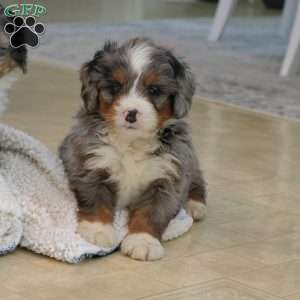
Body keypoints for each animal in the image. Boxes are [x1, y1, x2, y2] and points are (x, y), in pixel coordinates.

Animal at [59, 37, 207, 260]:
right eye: (115, 86)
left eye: (154, 90)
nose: (131, 114)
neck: (132, 142)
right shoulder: (92, 163)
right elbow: (96, 199)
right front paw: (97, 230)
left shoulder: (167, 177)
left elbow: (152, 211)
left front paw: (142, 241)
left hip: (190, 164)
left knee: (198, 181)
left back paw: (196, 205)